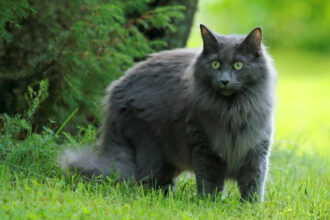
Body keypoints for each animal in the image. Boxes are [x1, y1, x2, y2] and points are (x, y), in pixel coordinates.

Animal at [59, 24, 276, 203]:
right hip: (152, 150)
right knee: (147, 181)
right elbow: (210, 183)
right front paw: (210, 204)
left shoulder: (256, 150)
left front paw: (250, 208)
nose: (224, 80)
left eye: (238, 65)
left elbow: (253, 184)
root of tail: (115, 92)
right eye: (215, 64)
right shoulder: (204, 148)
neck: (232, 110)